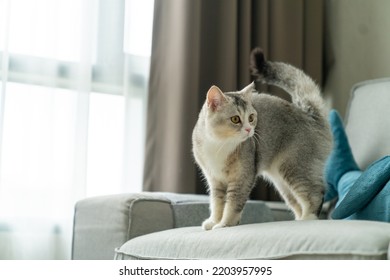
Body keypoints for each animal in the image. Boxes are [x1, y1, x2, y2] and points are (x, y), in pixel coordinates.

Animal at [192, 47, 332, 230]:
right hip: (282, 183)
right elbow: (217, 203)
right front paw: (214, 221)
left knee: (315, 193)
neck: (219, 144)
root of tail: (310, 116)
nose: (249, 129)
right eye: (235, 119)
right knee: (297, 202)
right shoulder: (215, 180)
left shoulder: (242, 178)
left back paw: (308, 219)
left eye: (251, 117)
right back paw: (298, 219)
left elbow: (232, 205)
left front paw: (224, 225)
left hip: (295, 168)